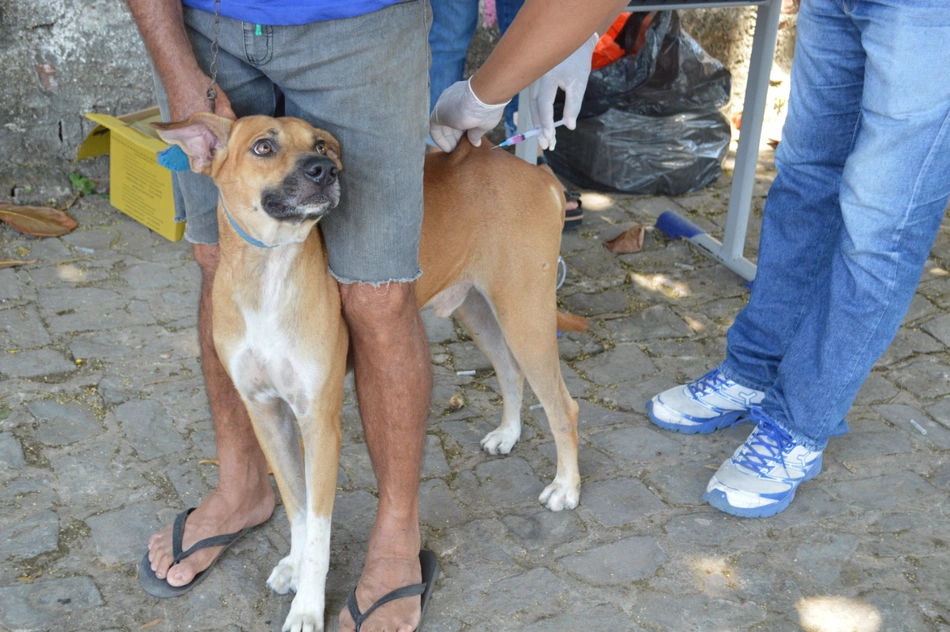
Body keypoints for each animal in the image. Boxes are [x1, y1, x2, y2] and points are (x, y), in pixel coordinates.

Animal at [155, 115, 584, 632]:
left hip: (526, 315)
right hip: (478, 309)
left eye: (320, 144)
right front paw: (293, 565)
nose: (324, 170)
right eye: (262, 147)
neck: (268, 276)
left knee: (563, 406)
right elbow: (296, 507)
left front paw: (308, 606)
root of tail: (538, 174)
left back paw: (566, 488)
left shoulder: (320, 425)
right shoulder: (266, 414)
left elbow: (319, 530)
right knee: (509, 370)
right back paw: (508, 433)